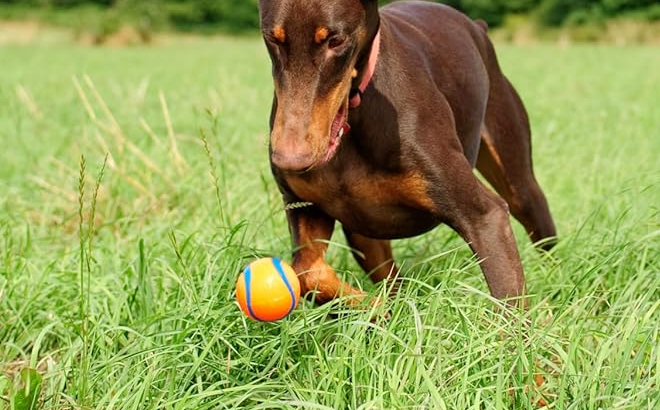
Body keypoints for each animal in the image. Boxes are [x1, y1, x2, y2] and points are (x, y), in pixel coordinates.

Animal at [258, 0, 556, 308]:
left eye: (336, 40)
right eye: (272, 38)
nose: (288, 159)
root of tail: (477, 26)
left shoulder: (484, 217)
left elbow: (509, 302)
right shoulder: (306, 206)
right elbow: (307, 272)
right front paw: (377, 309)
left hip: (519, 180)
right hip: (362, 233)